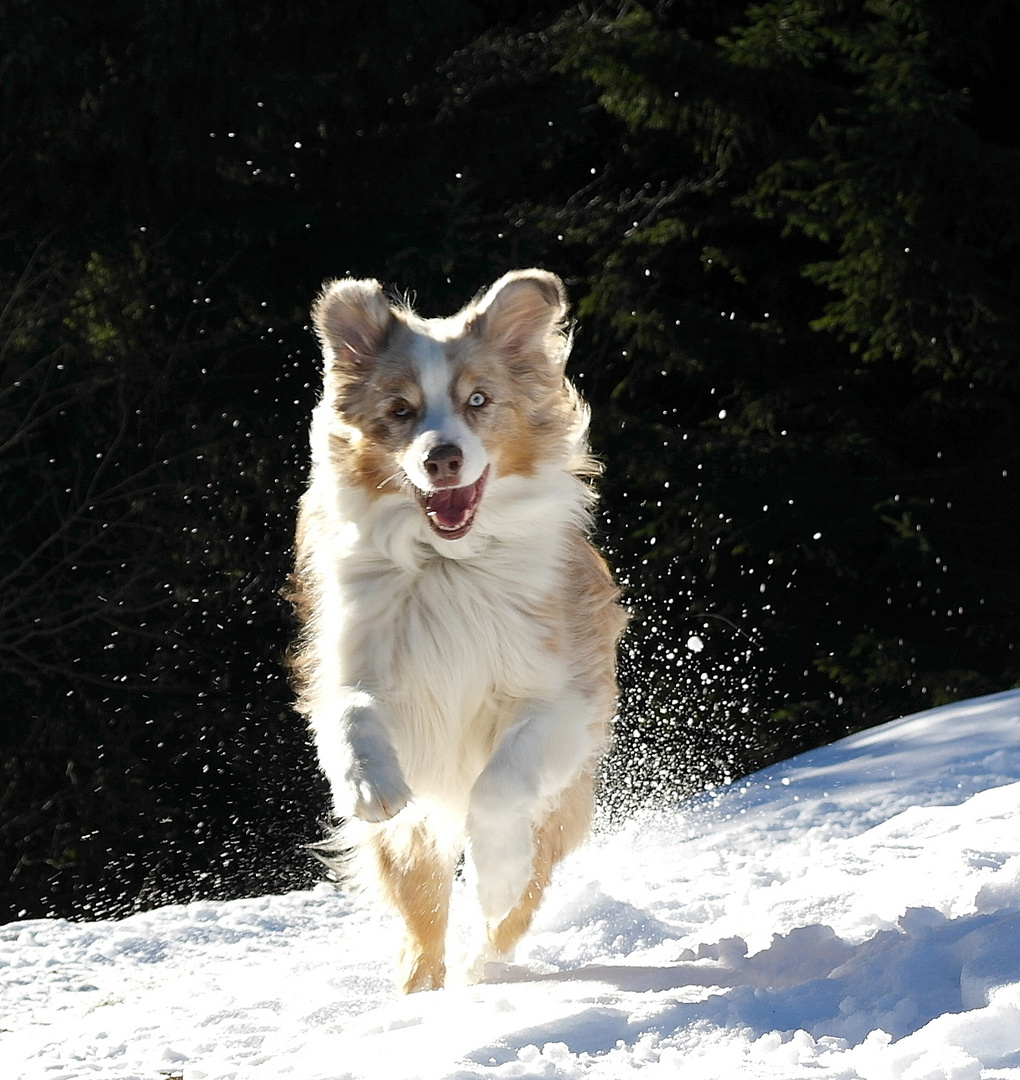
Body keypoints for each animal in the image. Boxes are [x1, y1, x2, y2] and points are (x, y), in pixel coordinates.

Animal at [287, 270, 622, 993]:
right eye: (400, 410)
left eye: (478, 400)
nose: (441, 459)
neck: (449, 564)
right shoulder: (357, 663)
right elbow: (351, 712)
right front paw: (371, 785)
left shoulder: (562, 698)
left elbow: (499, 787)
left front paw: (494, 876)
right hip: (413, 842)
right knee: (422, 912)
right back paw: (421, 992)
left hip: (560, 805)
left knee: (518, 902)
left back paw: (485, 959)